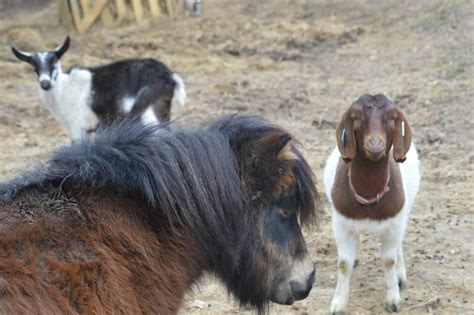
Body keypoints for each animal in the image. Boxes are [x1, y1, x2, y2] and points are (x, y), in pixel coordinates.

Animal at [12, 36, 186, 141]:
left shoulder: (78, 127)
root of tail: (168, 75)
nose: (45, 83)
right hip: (161, 110)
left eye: (54, 61)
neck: (64, 89)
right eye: (33, 66)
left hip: (147, 112)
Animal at [324, 94, 420, 314]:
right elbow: (344, 263)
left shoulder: (394, 223)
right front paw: (338, 303)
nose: (375, 144)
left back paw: (400, 275)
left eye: (392, 116)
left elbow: (389, 260)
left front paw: (393, 299)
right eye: (355, 116)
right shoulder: (342, 223)